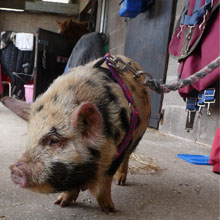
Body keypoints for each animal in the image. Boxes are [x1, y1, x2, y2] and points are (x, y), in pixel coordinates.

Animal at [1, 55, 150, 213]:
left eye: (54, 140)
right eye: (30, 138)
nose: (15, 169)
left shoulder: (119, 148)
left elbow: (106, 179)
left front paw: (109, 210)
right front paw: (60, 203)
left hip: (137, 136)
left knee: (128, 156)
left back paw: (120, 182)